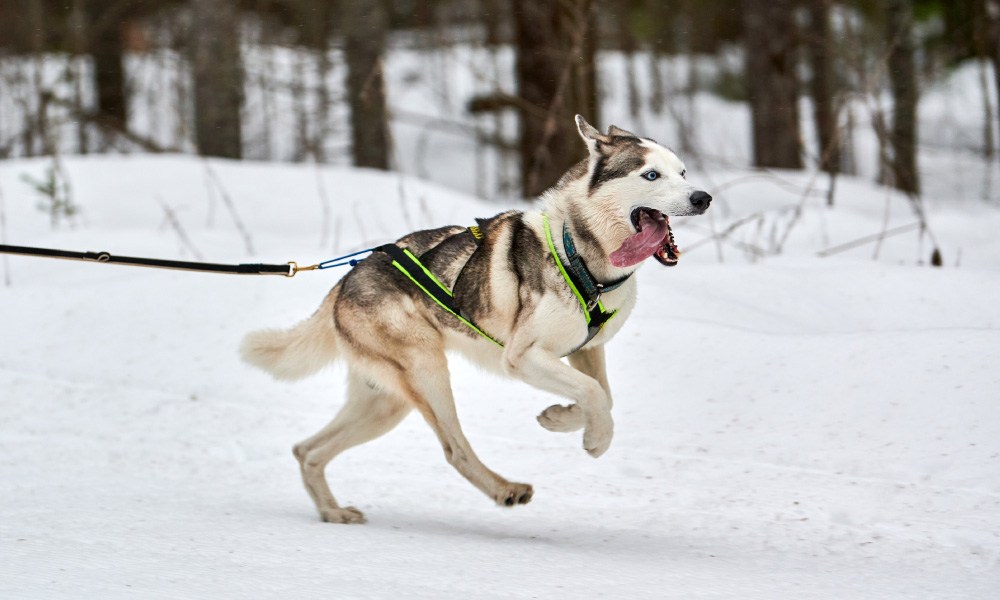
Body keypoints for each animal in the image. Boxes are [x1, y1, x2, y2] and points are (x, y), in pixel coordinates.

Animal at [241, 115, 712, 524]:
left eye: (684, 172)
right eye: (651, 175)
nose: (702, 198)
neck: (579, 255)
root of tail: (345, 281)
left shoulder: (587, 350)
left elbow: (603, 395)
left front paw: (560, 418)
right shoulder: (523, 357)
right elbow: (594, 393)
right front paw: (595, 441)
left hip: (385, 401)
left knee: (307, 451)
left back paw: (332, 512)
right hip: (427, 375)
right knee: (455, 449)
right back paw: (505, 489)